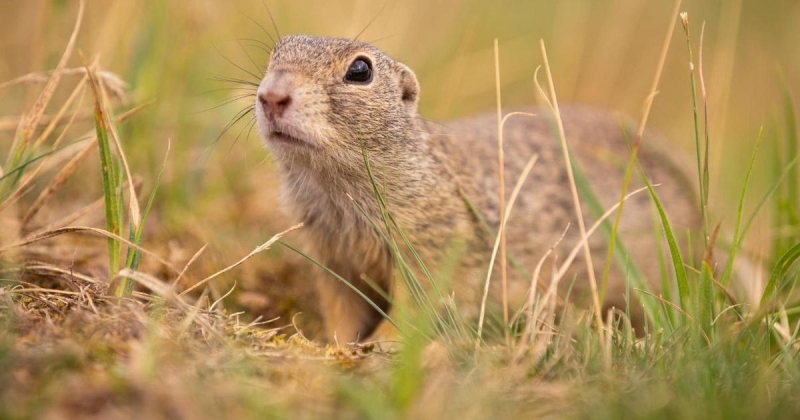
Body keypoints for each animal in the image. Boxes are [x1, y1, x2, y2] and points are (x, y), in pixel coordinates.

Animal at [255, 35, 692, 344]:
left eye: (360, 70)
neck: (335, 188)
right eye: (273, 54)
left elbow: (413, 307)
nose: (271, 96)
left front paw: (380, 344)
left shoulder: (435, 247)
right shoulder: (332, 257)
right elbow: (341, 309)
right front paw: (331, 344)